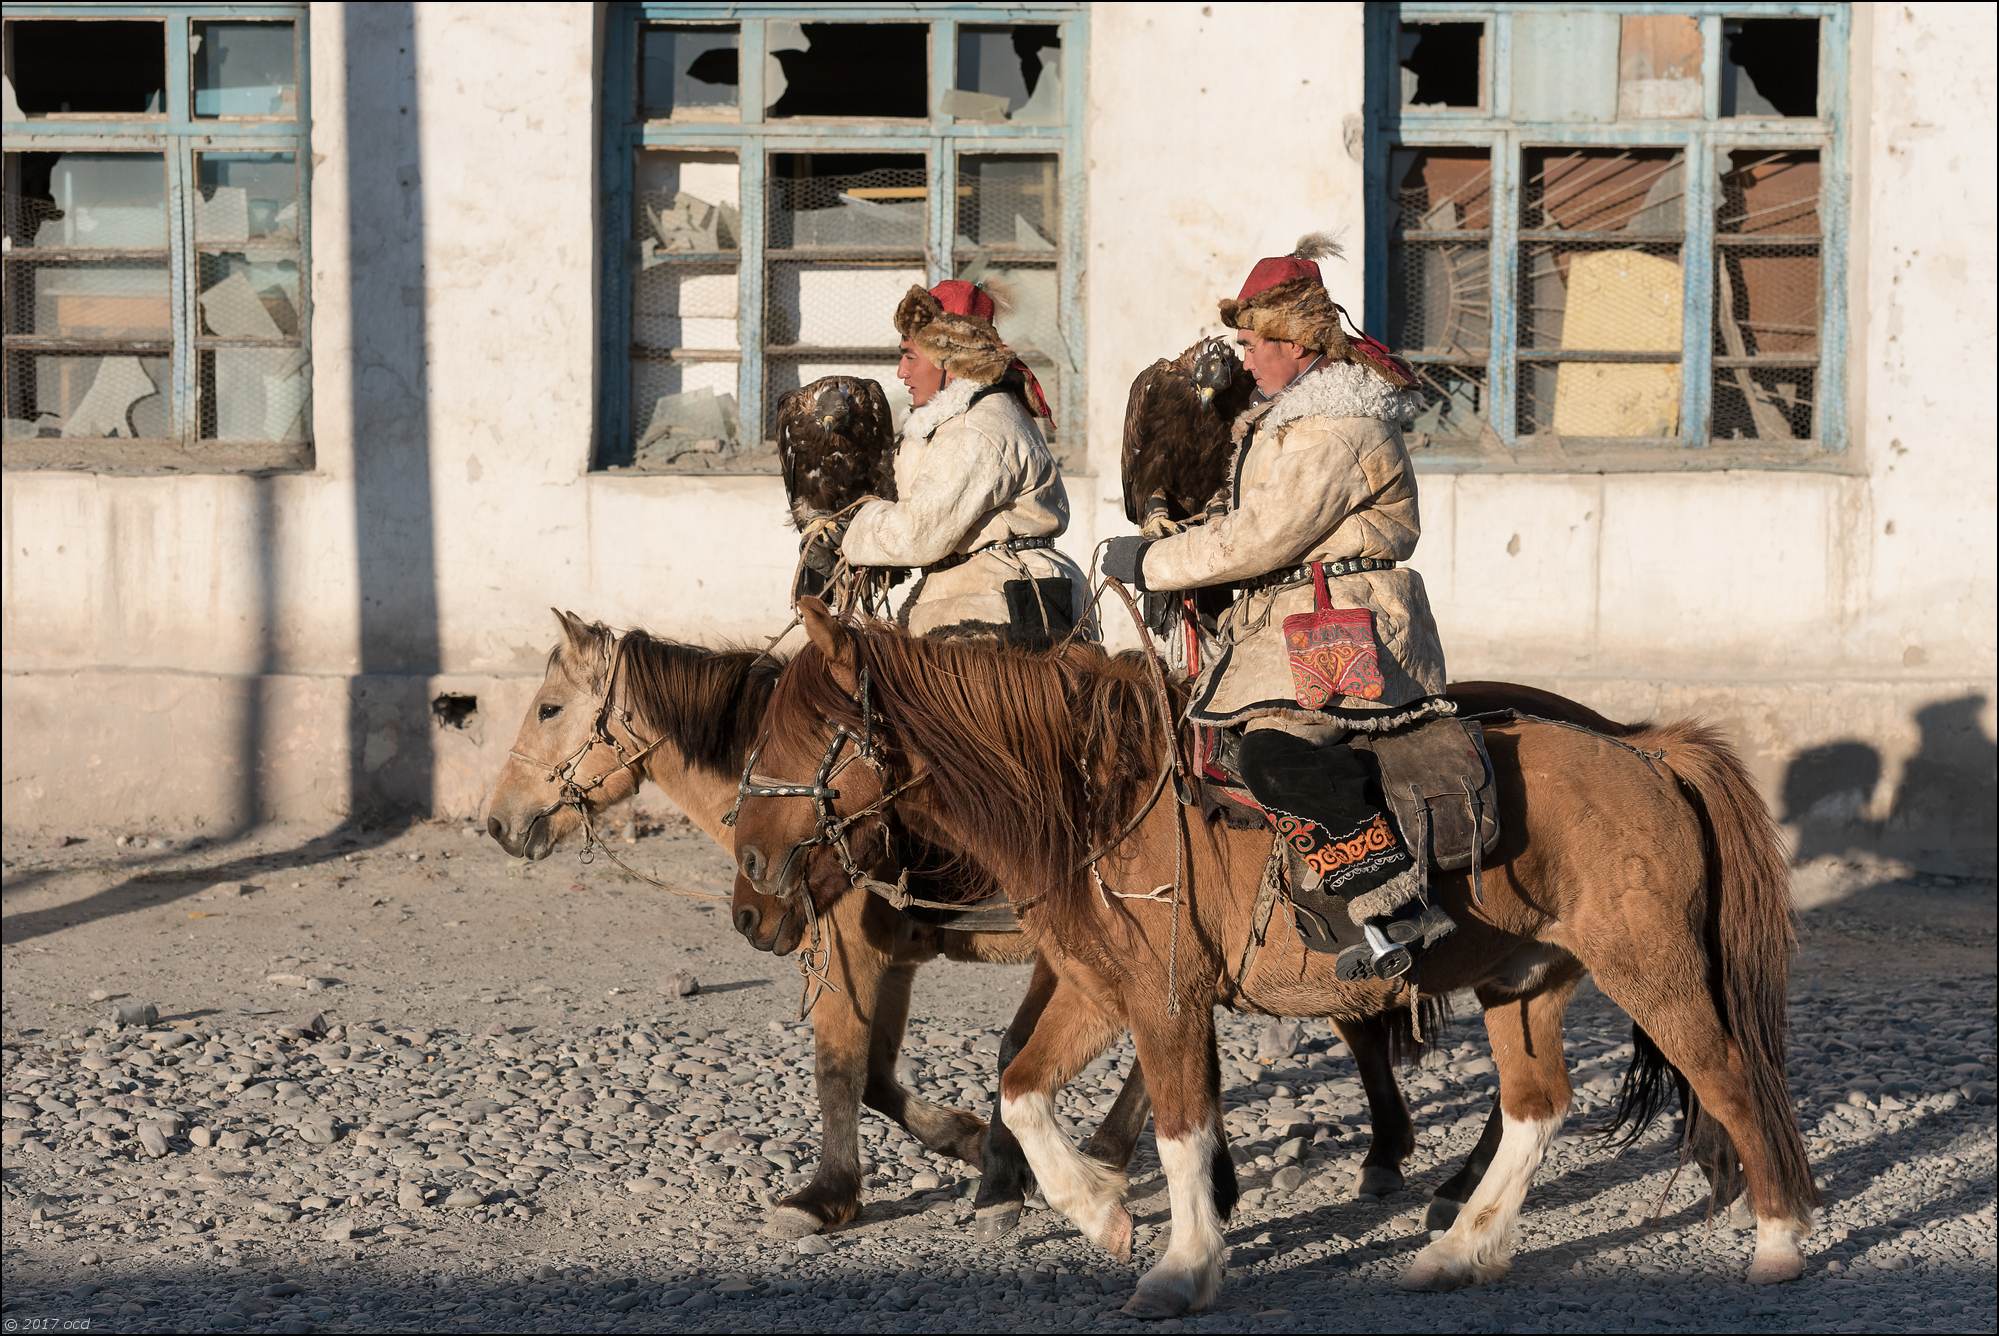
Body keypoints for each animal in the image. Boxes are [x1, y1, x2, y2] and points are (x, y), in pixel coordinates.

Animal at [477, 616, 1431, 1240]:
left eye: (550, 708)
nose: (498, 823)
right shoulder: (899, 959)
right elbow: (877, 1076)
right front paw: (982, 1152)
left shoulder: (851, 950)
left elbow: (841, 1070)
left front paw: (831, 1195)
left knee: (1344, 1021)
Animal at [727, 604, 1823, 1312]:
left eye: (815, 733)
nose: (750, 891)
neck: (1099, 797)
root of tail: (1648, 750)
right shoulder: (1100, 990)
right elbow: (1022, 1088)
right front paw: (1099, 1214)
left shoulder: (1166, 998)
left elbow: (1178, 1127)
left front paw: (1179, 1267)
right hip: (1525, 982)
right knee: (1534, 1107)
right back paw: (1461, 1249)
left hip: (1654, 970)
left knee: (1729, 1078)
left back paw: (1777, 1243)